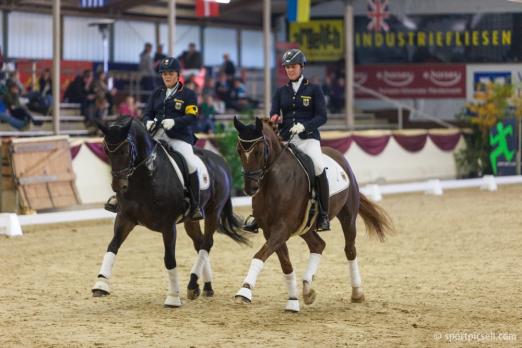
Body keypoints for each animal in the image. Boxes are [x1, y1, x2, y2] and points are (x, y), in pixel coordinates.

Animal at [232, 117, 390, 312]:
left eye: (260, 151)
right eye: (239, 151)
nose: (250, 188)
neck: (272, 182)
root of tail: (340, 157)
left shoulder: (282, 228)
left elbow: (260, 255)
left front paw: (244, 292)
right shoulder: (270, 230)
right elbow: (285, 264)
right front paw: (293, 301)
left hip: (348, 217)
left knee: (350, 250)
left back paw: (357, 293)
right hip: (305, 226)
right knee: (318, 245)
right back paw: (307, 290)